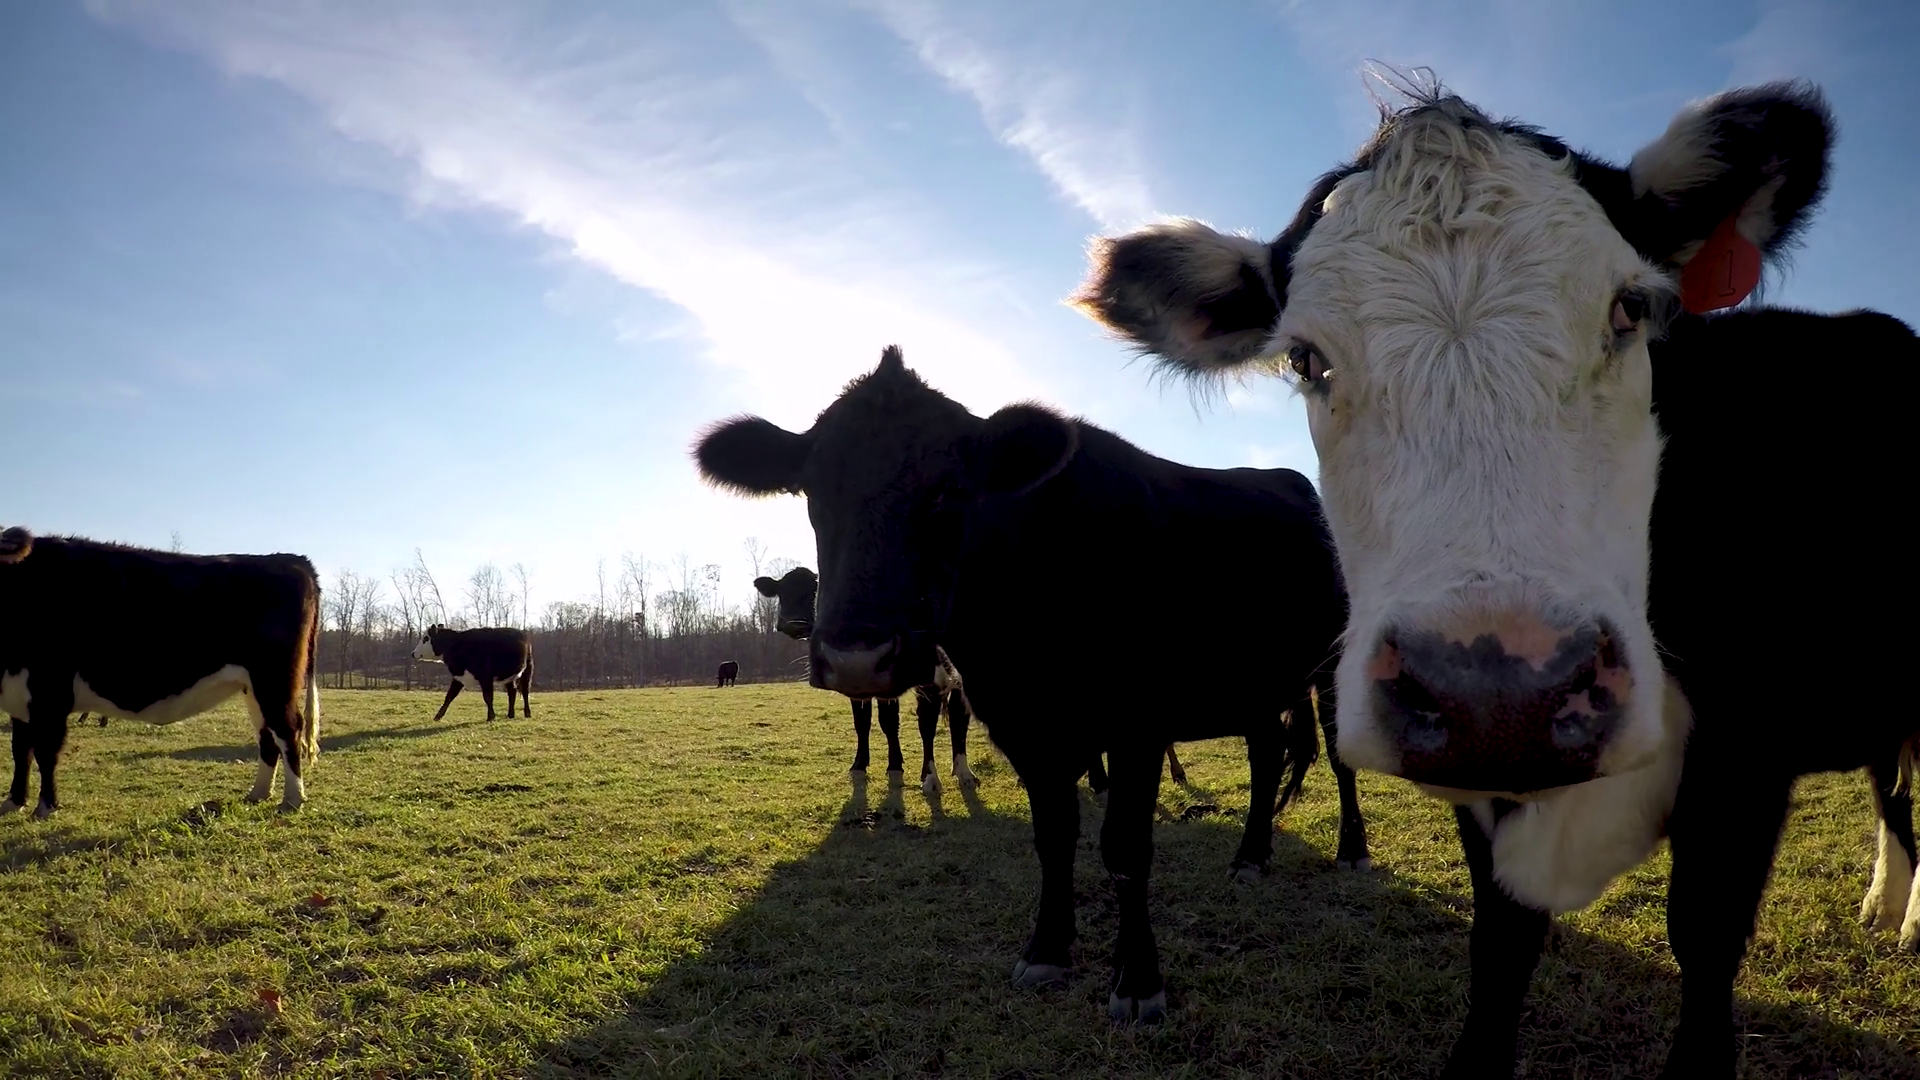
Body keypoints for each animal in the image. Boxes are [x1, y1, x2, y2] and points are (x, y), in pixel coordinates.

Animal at [0, 526, 322, 816]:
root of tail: (291, 560)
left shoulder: (49, 692)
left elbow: (45, 753)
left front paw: (45, 806)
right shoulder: (20, 697)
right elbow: (20, 751)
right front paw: (14, 801)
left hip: (275, 680)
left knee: (288, 729)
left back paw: (292, 799)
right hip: (253, 687)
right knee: (267, 735)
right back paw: (258, 794)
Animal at [755, 565, 977, 794]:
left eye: (811, 592)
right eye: (781, 593)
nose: (788, 624)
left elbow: (898, 722)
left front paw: (913, 772)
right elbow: (863, 722)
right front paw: (861, 765)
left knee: (944, 719)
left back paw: (954, 774)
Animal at [1075, 78, 1919, 1078]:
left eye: (1630, 310)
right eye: (1307, 357)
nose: (1501, 691)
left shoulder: (1748, 756)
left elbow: (1704, 945)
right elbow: (1499, 957)